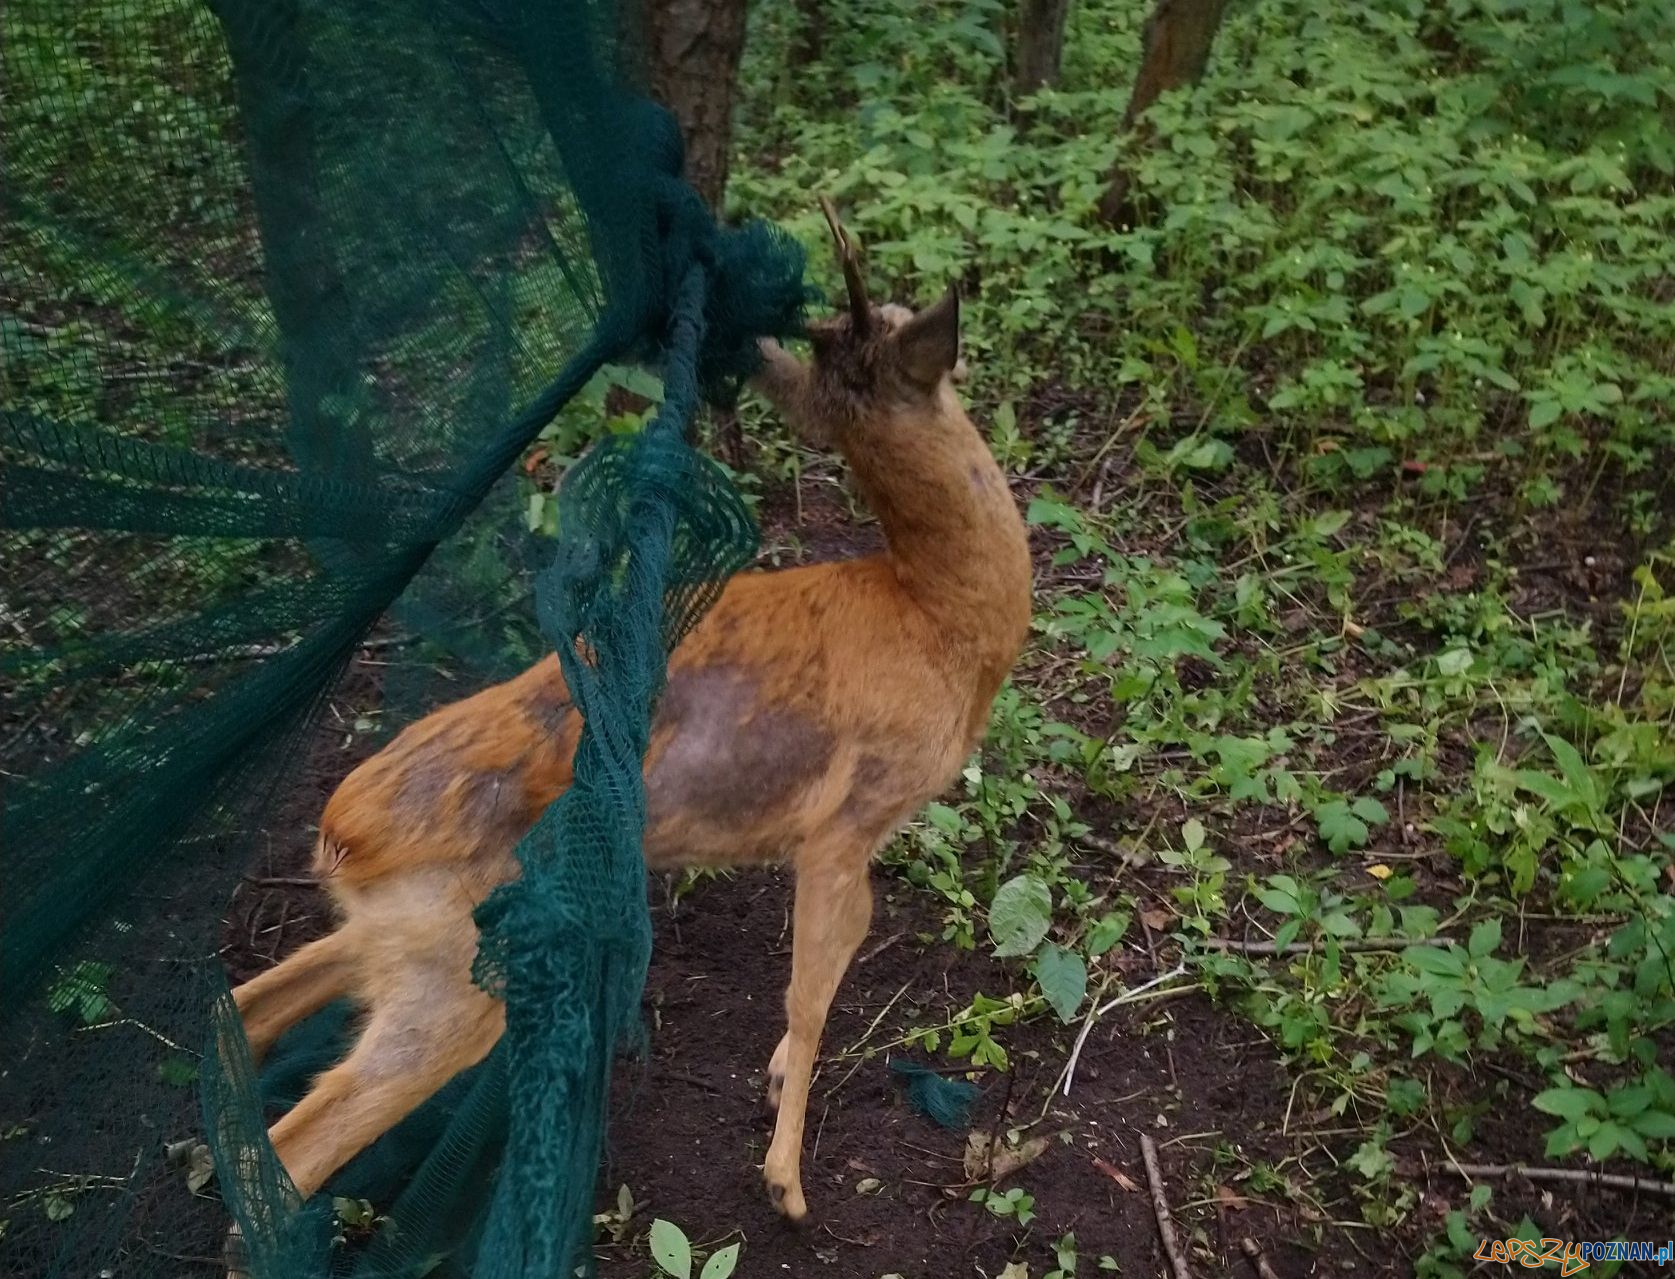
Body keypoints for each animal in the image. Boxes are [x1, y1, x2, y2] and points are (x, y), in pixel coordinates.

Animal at [227, 205, 1025, 1225]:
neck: (939, 622)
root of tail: (343, 830)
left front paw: (774, 1092)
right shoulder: (845, 823)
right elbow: (811, 989)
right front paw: (785, 1179)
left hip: (399, 942)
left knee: (248, 1007)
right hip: (457, 978)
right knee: (296, 1144)